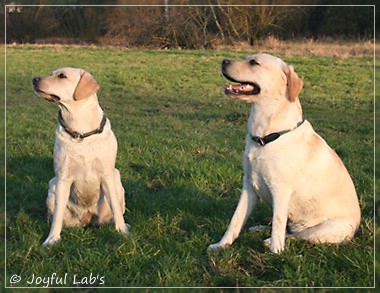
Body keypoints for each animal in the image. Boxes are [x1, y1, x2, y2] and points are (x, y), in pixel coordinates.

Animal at [31, 68, 129, 244]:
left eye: (62, 76)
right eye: (52, 73)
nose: (34, 79)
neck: (80, 131)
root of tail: (87, 218)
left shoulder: (107, 174)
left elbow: (116, 209)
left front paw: (122, 231)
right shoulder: (63, 178)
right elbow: (57, 215)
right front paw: (52, 239)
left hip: (117, 180)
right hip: (52, 186)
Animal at [208, 53, 360, 252]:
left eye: (254, 62)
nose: (224, 61)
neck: (265, 136)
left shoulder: (280, 189)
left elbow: (279, 223)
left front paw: (275, 252)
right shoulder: (249, 185)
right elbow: (236, 219)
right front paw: (221, 245)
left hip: (327, 228)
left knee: (298, 235)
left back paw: (269, 241)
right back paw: (259, 228)